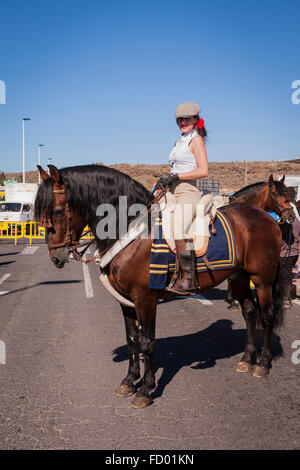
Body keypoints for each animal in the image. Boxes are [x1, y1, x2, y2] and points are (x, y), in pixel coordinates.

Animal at [35, 164, 296, 408]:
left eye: (58, 211)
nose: (56, 257)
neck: (131, 230)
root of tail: (264, 217)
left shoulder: (145, 299)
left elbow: (147, 342)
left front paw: (145, 390)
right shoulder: (125, 301)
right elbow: (132, 340)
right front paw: (129, 381)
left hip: (262, 279)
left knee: (267, 315)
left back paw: (263, 363)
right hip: (240, 277)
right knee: (250, 312)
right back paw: (246, 359)